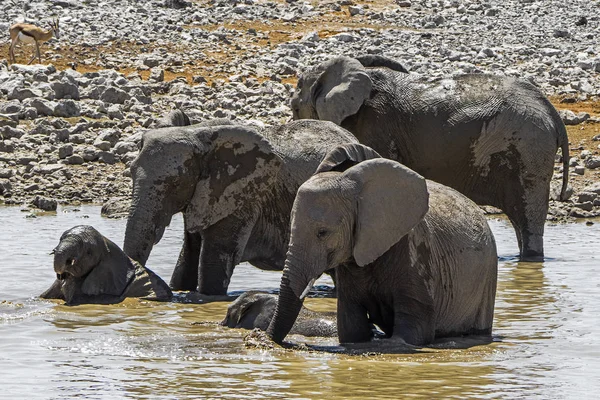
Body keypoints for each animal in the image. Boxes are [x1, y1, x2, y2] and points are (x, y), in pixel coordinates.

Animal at [122, 117, 356, 296]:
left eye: (176, 183)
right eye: (131, 173)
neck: (197, 131)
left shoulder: (242, 196)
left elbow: (215, 259)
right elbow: (188, 257)